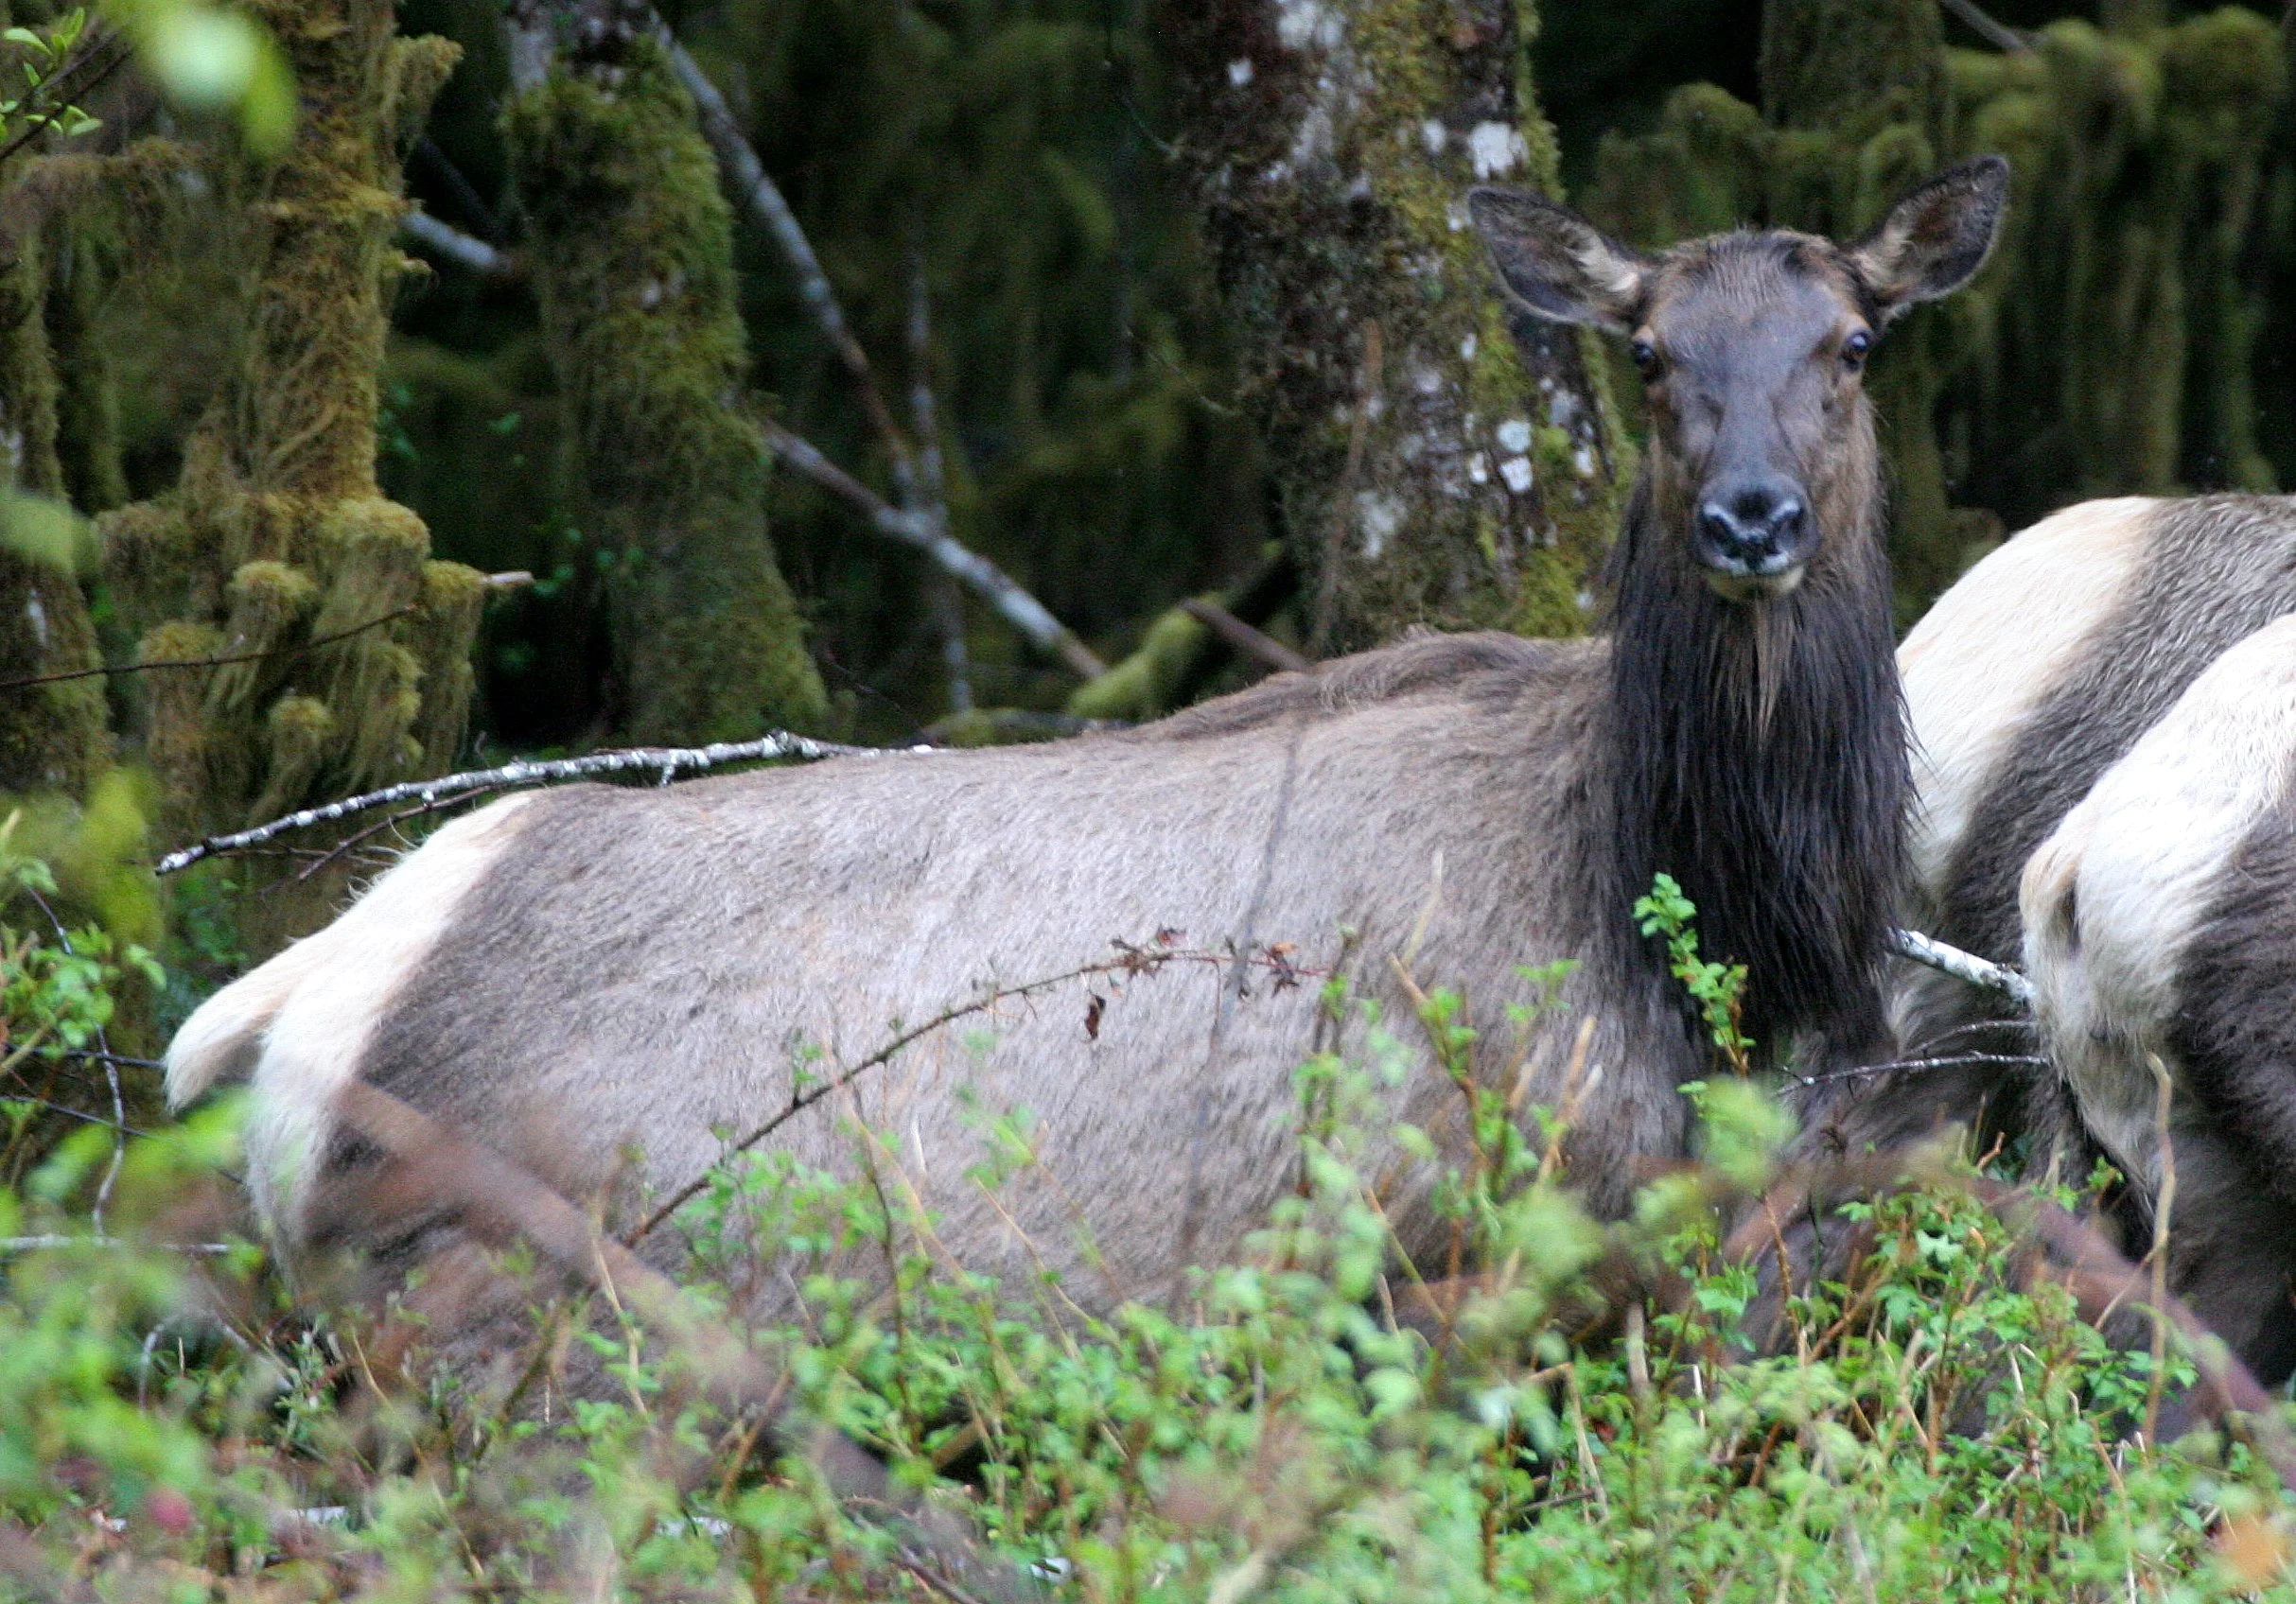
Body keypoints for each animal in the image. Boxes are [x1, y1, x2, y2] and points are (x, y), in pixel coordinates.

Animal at [165, 159, 2010, 1351]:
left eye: (1850, 346)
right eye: (1645, 356)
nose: (1749, 518)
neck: (1712, 923)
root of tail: (289, 1014)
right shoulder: (1444, 1237)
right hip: (500, 1277)